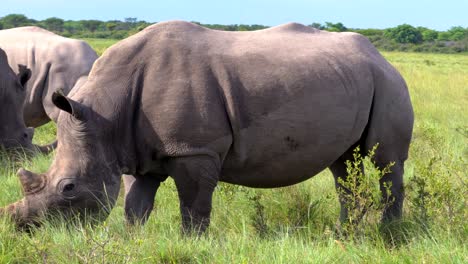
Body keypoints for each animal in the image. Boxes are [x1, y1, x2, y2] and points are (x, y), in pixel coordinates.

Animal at [0, 21, 412, 233]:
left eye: (68, 188)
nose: (26, 229)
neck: (104, 113)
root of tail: (380, 54)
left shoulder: (193, 149)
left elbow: (194, 205)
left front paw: (193, 243)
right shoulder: (132, 149)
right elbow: (135, 205)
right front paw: (134, 240)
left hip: (388, 81)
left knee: (387, 162)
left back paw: (387, 234)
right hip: (356, 78)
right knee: (343, 164)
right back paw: (346, 233)